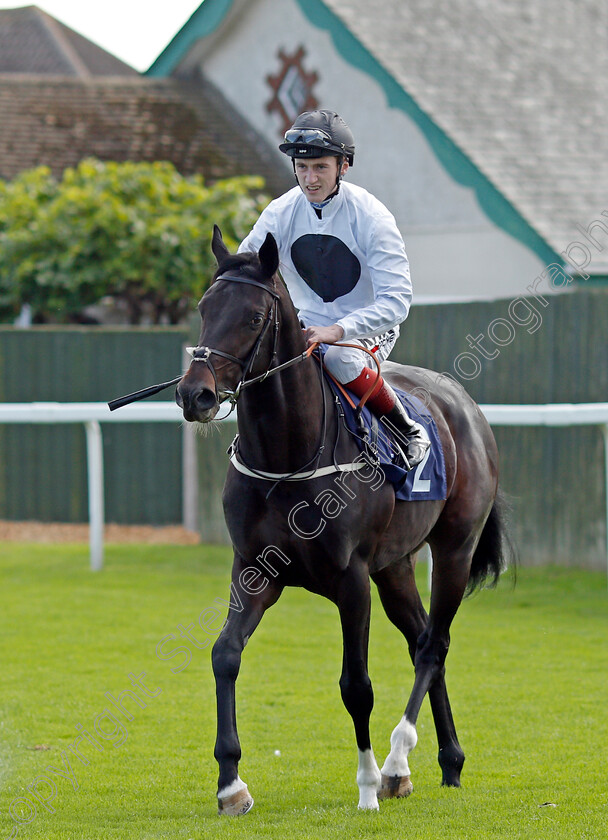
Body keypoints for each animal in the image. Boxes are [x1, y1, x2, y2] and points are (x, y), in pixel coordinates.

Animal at [175, 225, 508, 812]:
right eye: (203, 308)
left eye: (254, 317)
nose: (196, 394)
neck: (287, 456)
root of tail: (464, 404)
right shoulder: (254, 571)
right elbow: (224, 655)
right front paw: (231, 783)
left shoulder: (351, 580)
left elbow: (356, 685)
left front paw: (368, 785)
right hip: (394, 567)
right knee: (423, 639)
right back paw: (447, 762)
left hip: (454, 550)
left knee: (433, 645)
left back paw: (397, 761)